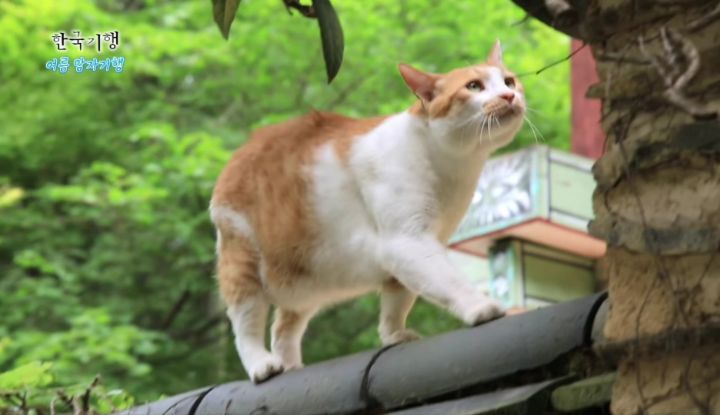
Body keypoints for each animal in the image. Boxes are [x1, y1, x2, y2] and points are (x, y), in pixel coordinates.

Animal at [211, 41, 524, 384]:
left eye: (509, 81)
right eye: (474, 86)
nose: (508, 96)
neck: (451, 164)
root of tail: (239, 153)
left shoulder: (408, 254)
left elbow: (396, 302)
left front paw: (393, 335)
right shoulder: (408, 242)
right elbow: (449, 281)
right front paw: (481, 307)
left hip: (304, 282)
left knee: (282, 331)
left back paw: (292, 367)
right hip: (244, 264)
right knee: (246, 327)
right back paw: (262, 365)